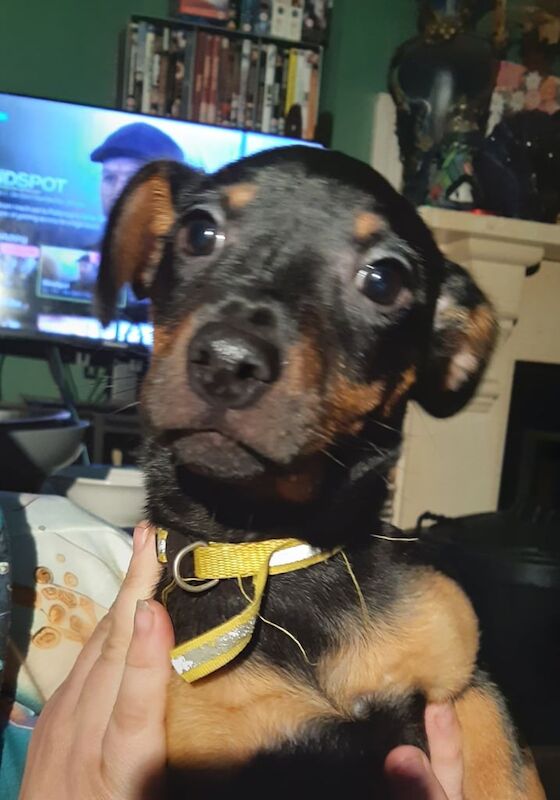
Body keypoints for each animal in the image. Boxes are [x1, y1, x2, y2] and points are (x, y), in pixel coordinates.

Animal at [98, 147, 544, 796]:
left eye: (384, 279)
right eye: (198, 232)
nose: (227, 362)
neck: (275, 552)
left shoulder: (465, 681)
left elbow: (505, 773)